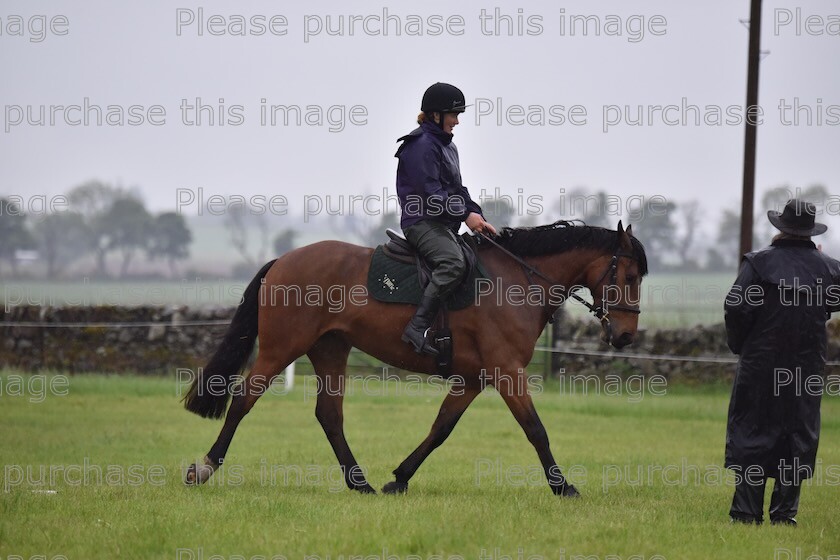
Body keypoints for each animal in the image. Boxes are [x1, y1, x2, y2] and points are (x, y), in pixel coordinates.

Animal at [180, 221, 648, 496]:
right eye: (627, 276)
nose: (625, 336)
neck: (518, 280)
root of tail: (283, 261)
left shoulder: (474, 379)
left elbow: (440, 429)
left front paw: (400, 478)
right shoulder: (507, 372)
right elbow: (536, 430)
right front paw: (564, 487)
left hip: (330, 349)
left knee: (329, 415)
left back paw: (361, 484)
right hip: (282, 349)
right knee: (244, 401)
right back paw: (204, 467)